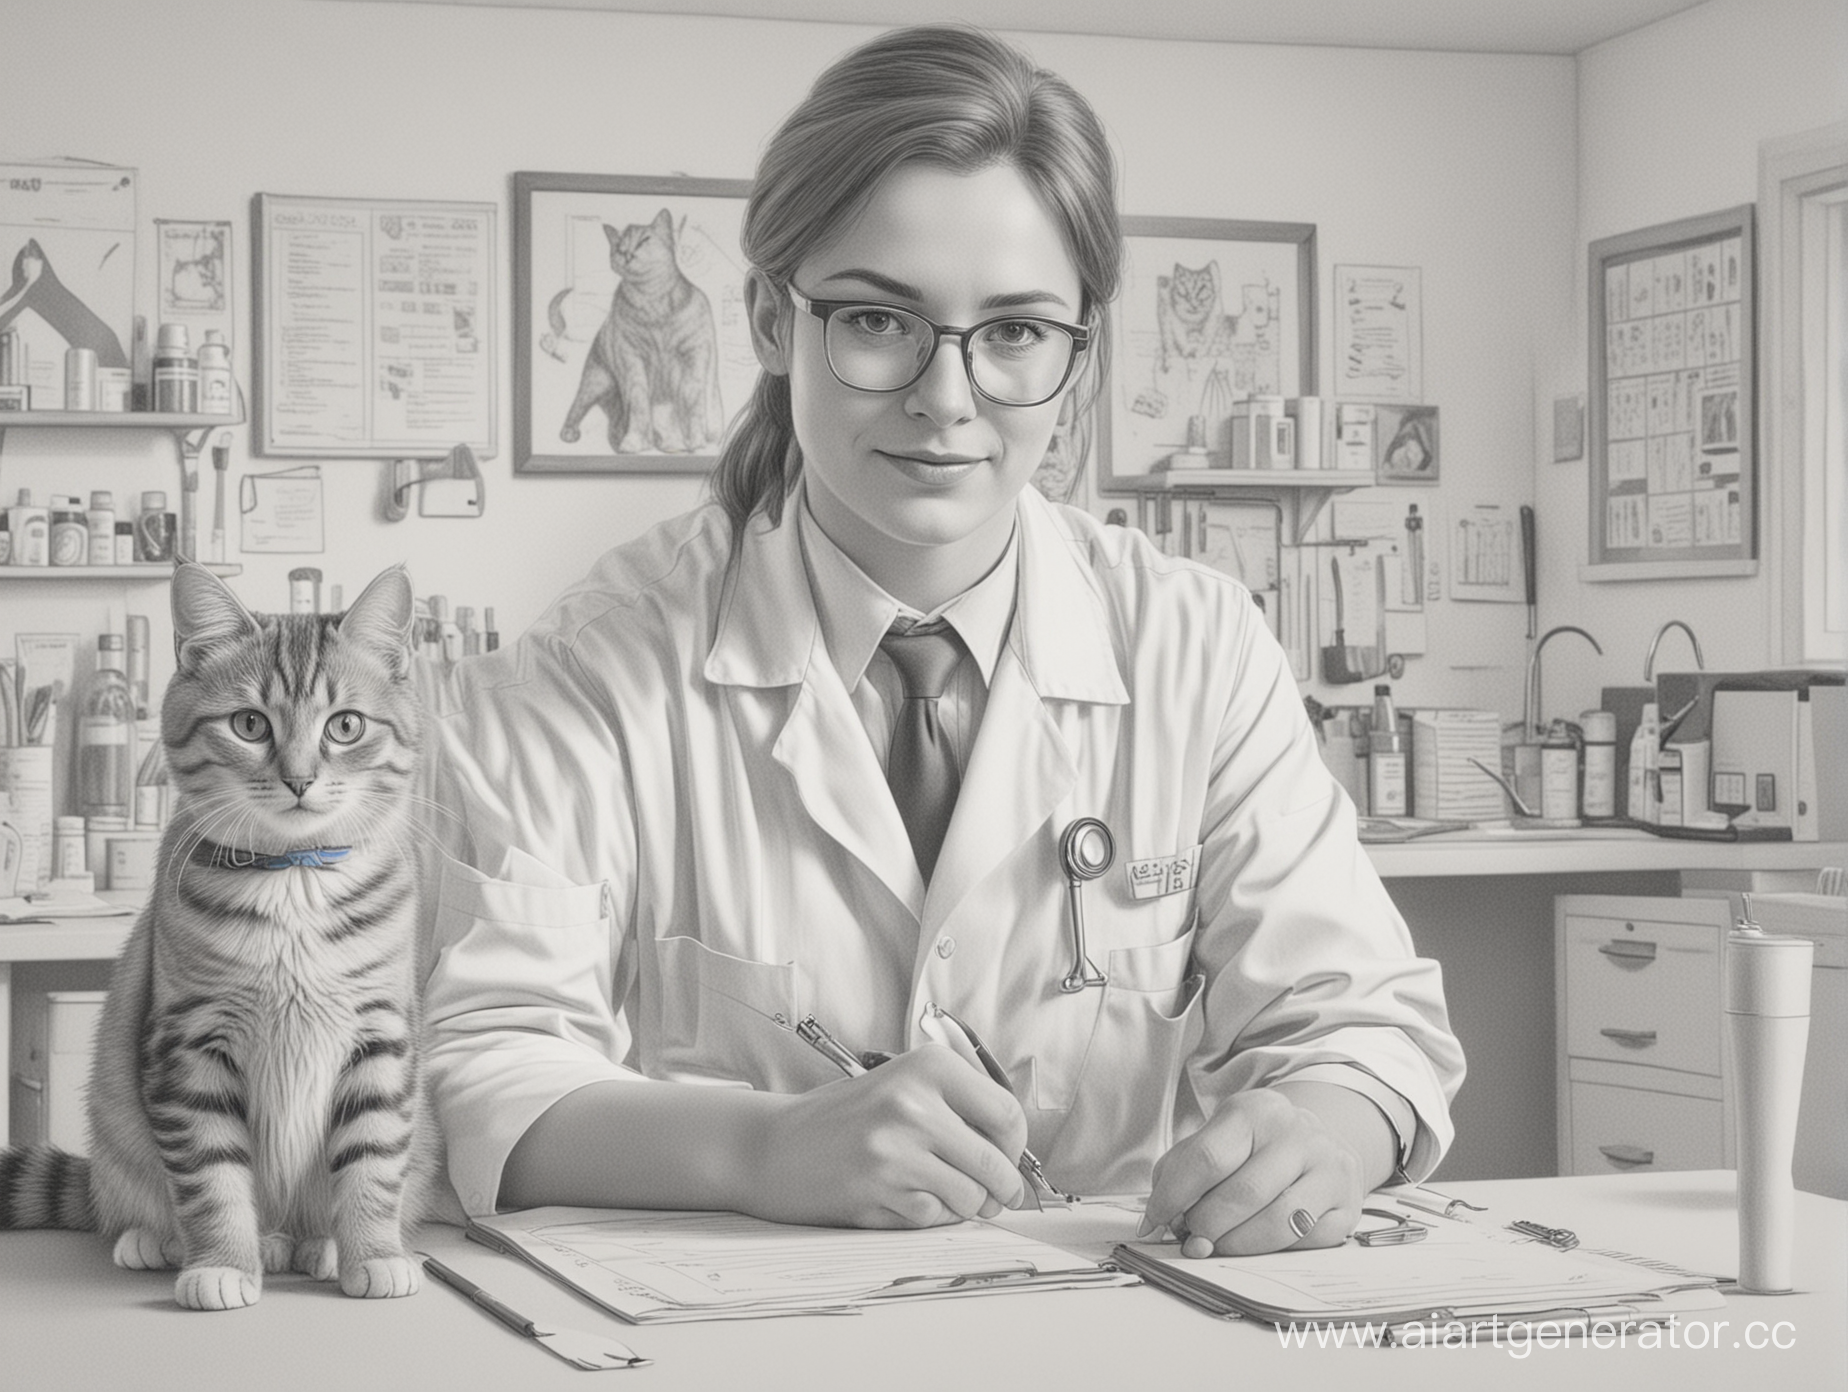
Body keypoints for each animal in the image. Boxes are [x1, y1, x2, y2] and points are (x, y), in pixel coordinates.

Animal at [0, 558, 450, 1308]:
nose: (299, 779)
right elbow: (212, 1176)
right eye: (248, 724)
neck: (293, 878)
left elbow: (371, 1158)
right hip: (115, 1132)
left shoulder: (381, 1036)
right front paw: (222, 1262)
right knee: (129, 1199)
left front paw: (374, 1253)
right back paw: (169, 1241)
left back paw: (320, 1245)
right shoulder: (188, 1042)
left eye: (346, 726)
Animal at [554, 208, 720, 452]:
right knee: (577, 406)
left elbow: (692, 399)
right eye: (619, 247)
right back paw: (570, 431)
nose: (627, 254)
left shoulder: (694, 354)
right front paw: (634, 441)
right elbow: (638, 401)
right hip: (596, 381)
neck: (652, 300)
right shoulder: (631, 358)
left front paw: (696, 442)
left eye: (644, 240)